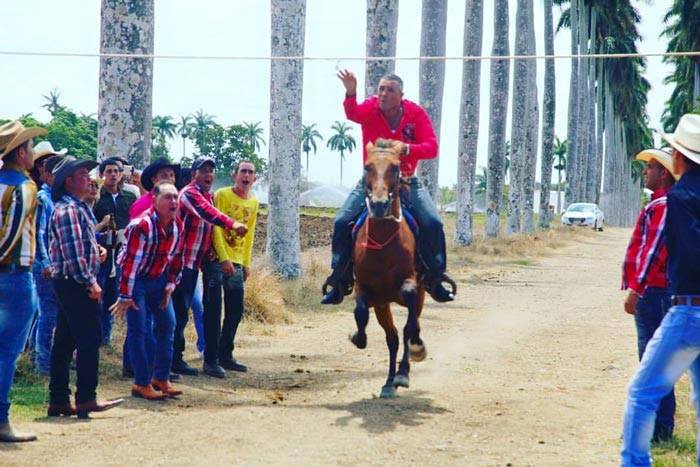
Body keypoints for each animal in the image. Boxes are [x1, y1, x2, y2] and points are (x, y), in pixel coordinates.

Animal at [350, 139, 426, 398]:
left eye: (395, 167)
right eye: (367, 166)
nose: (379, 205)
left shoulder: (411, 285)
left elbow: (409, 325)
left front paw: (406, 369)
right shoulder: (365, 288)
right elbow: (360, 311)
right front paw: (358, 337)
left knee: (407, 328)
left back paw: (403, 369)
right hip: (383, 305)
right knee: (391, 337)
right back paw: (388, 382)